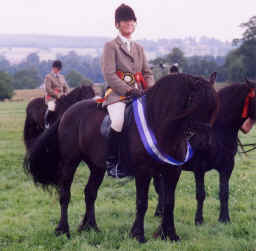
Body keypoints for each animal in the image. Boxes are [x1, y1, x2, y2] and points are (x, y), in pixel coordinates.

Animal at [23, 73, 218, 242]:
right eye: (193, 102)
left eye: (213, 107)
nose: (204, 143)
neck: (161, 125)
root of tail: (67, 113)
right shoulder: (143, 172)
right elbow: (142, 203)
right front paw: (138, 235)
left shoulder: (172, 171)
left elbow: (169, 202)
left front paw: (169, 235)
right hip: (70, 162)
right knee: (65, 194)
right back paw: (63, 230)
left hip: (97, 167)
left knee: (90, 193)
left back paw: (90, 227)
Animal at [153, 78, 256, 224]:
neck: (217, 132)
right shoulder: (199, 168)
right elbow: (200, 194)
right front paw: (199, 220)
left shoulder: (227, 167)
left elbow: (224, 193)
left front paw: (224, 219)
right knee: (159, 187)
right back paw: (159, 212)